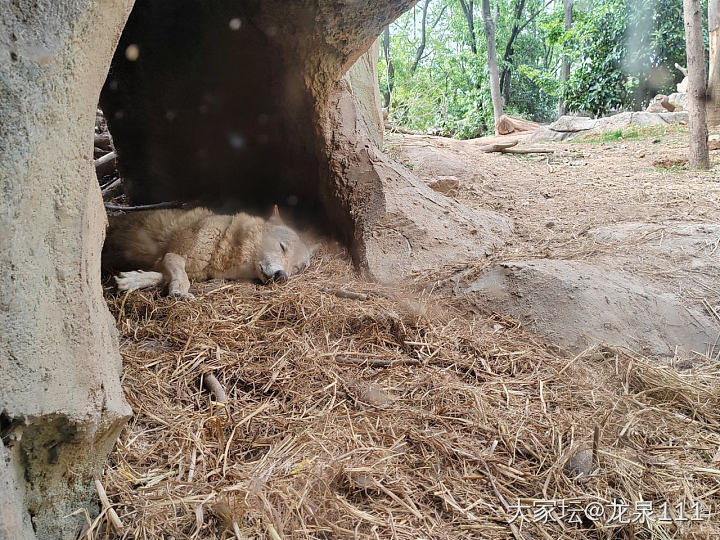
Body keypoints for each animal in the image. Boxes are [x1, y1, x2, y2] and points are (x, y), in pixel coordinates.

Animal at [102, 206, 310, 298]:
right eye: (282, 247)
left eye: (297, 268)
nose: (283, 276)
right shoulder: (173, 255)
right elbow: (181, 275)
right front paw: (179, 291)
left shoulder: (167, 263)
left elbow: (159, 276)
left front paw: (131, 279)